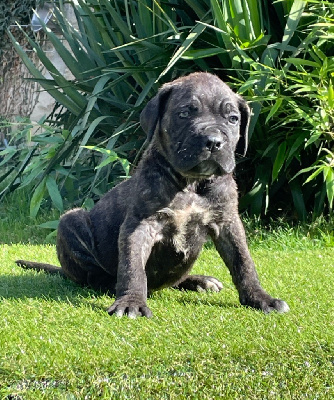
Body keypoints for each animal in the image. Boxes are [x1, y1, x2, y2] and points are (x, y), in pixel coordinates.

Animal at [16, 72, 290, 318]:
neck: (191, 183)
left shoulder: (227, 222)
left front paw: (259, 298)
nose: (213, 141)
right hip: (70, 221)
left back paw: (198, 280)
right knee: (95, 274)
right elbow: (133, 266)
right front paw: (132, 301)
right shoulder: (141, 224)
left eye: (233, 119)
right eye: (184, 113)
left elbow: (243, 262)